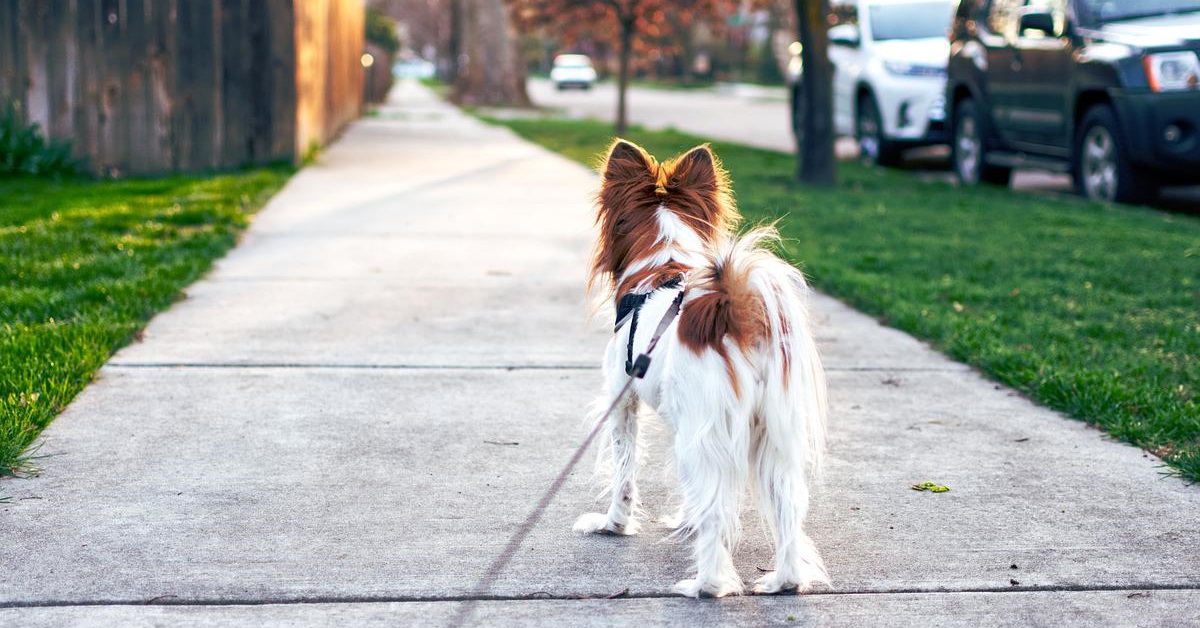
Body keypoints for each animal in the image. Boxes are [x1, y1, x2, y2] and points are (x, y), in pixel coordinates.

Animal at [576, 138, 830, 600]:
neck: (663, 265)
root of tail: (735, 312)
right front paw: (684, 520)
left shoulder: (623, 402)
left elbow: (624, 473)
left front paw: (613, 525)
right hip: (772, 435)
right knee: (787, 506)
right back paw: (783, 582)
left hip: (708, 431)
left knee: (716, 511)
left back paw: (706, 585)